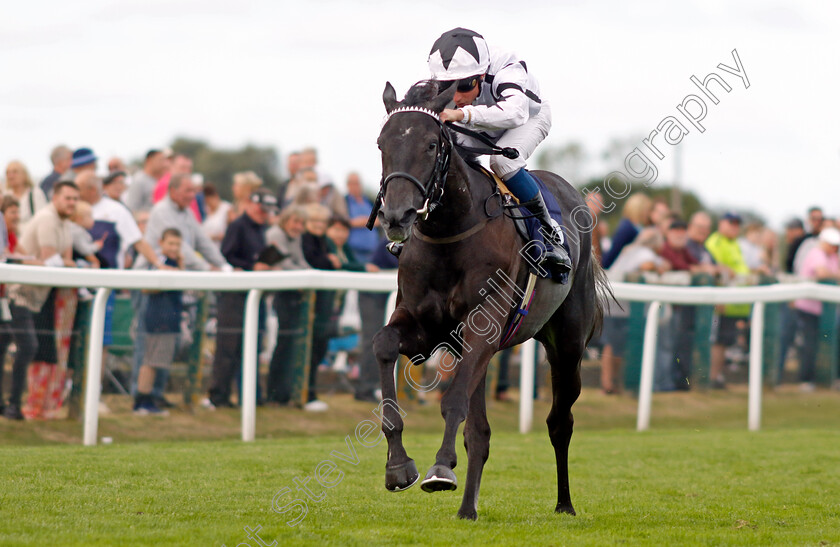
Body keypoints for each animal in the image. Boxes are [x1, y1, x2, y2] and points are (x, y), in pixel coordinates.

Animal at [372, 79, 604, 520]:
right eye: (382, 143)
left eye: (431, 144)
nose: (396, 216)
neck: (450, 233)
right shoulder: (425, 328)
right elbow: (385, 345)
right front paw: (398, 466)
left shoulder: (483, 326)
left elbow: (453, 402)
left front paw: (440, 469)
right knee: (481, 433)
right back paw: (468, 510)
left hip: (567, 346)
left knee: (559, 422)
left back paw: (564, 504)